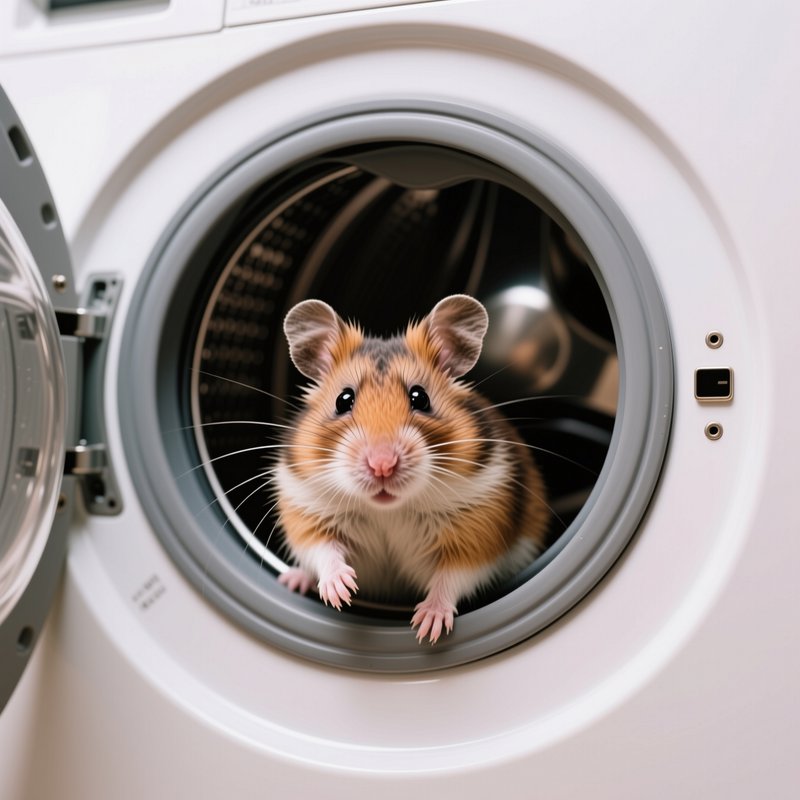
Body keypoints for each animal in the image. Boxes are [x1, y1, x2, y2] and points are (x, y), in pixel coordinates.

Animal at [274, 294, 549, 643]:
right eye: (343, 400)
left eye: (420, 397)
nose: (382, 465)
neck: (388, 510)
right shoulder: (306, 509)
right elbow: (322, 549)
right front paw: (341, 591)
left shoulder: (479, 527)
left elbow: (453, 574)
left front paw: (428, 627)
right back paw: (292, 580)